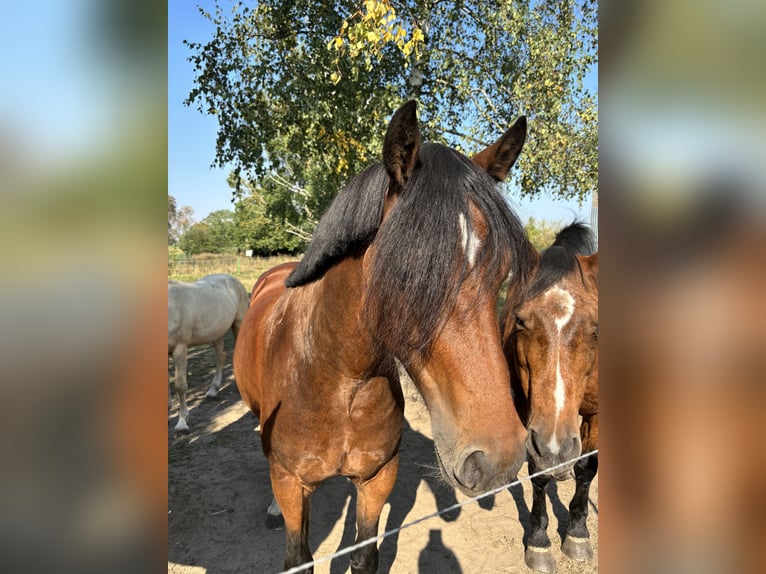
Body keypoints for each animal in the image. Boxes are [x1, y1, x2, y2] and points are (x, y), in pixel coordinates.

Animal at [170, 274, 250, 432]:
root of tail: (233, 280)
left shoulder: (180, 349)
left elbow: (180, 385)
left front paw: (182, 422)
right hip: (217, 333)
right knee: (221, 357)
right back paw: (213, 391)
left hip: (238, 324)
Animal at [234, 101, 540, 572]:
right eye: (407, 275)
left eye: (501, 274)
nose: (500, 457)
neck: (336, 378)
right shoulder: (290, 484)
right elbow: (298, 556)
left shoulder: (377, 480)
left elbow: (365, 555)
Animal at [504, 223, 600, 572]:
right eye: (519, 320)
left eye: (596, 327)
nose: (557, 449)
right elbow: (538, 474)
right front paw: (539, 542)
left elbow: (587, 468)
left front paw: (577, 534)